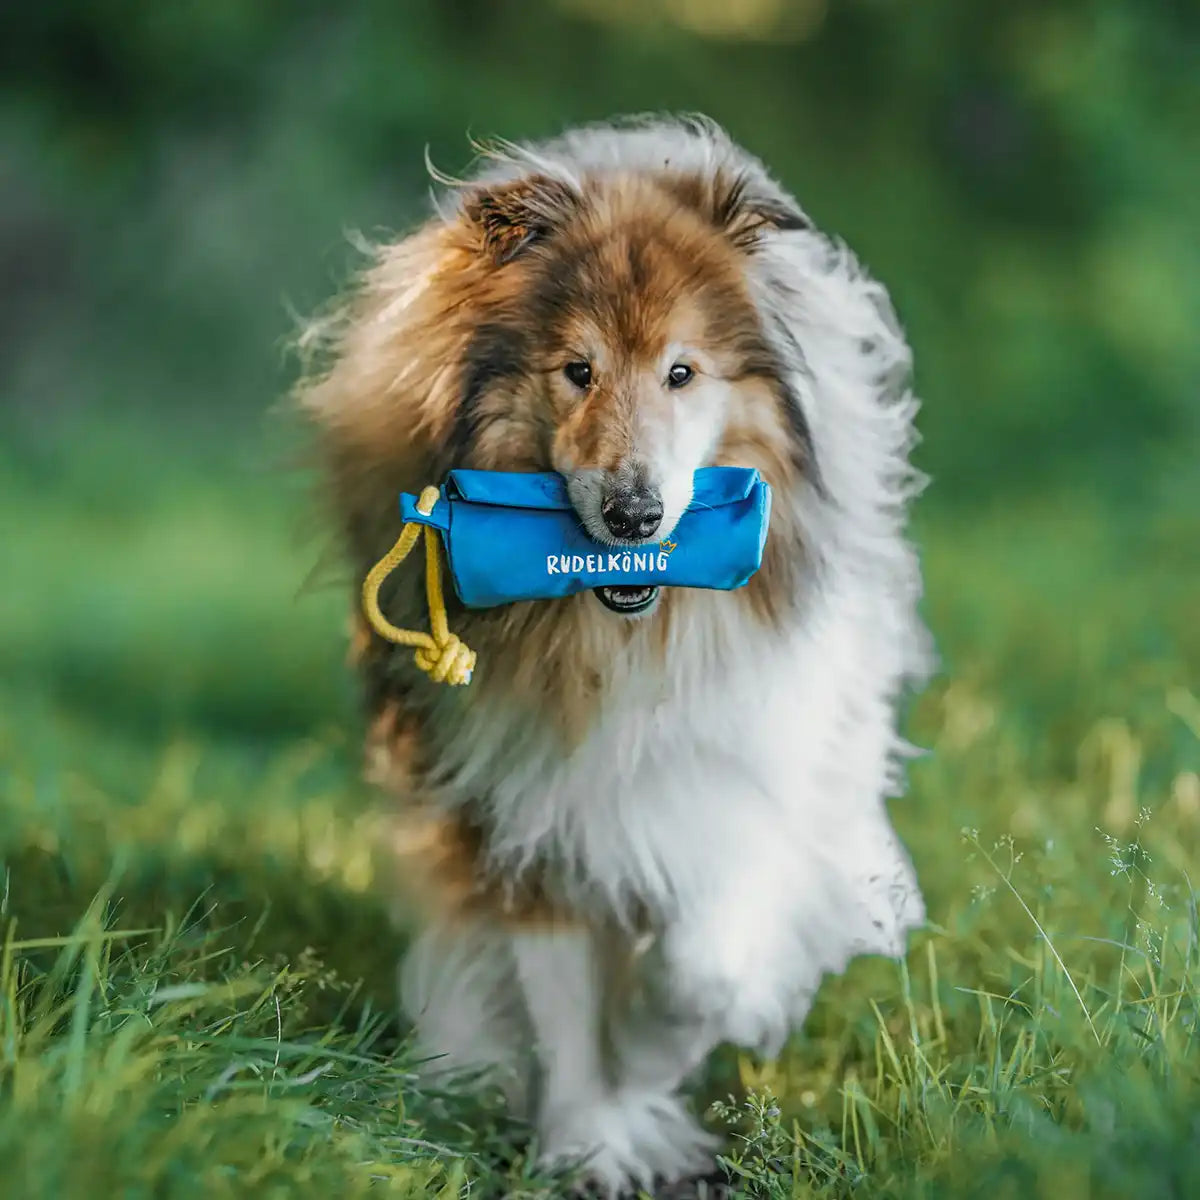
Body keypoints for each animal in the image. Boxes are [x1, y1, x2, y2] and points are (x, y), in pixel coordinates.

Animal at [295, 110, 931, 1190]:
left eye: (682, 372)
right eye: (577, 370)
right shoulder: (522, 814)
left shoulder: (744, 779)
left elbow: (701, 969)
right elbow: (558, 1005)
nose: (633, 516)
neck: (621, 638)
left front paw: (646, 1063)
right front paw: (590, 1141)